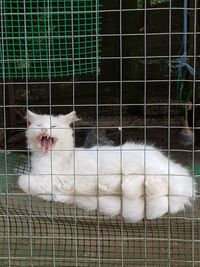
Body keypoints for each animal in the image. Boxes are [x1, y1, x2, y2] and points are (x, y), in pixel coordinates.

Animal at [18, 110, 195, 223]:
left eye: (53, 127)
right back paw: (124, 184)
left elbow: (23, 180)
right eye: (39, 125)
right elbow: (28, 182)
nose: (43, 129)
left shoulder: (49, 179)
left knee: (156, 203)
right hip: (116, 206)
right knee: (149, 208)